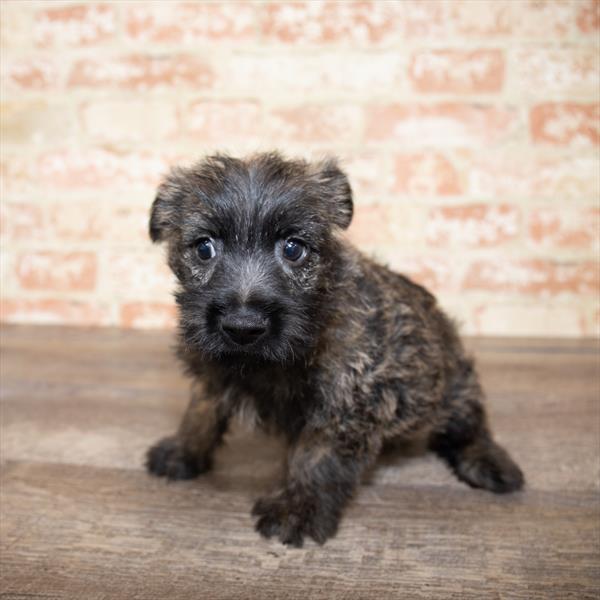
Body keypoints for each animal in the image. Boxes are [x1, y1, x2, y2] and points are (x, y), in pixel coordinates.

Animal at [148, 152, 524, 548]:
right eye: (204, 248)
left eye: (293, 248)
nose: (243, 325)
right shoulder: (211, 370)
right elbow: (201, 410)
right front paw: (182, 450)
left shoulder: (347, 396)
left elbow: (317, 456)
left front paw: (299, 510)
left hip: (452, 386)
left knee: (470, 425)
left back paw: (491, 463)